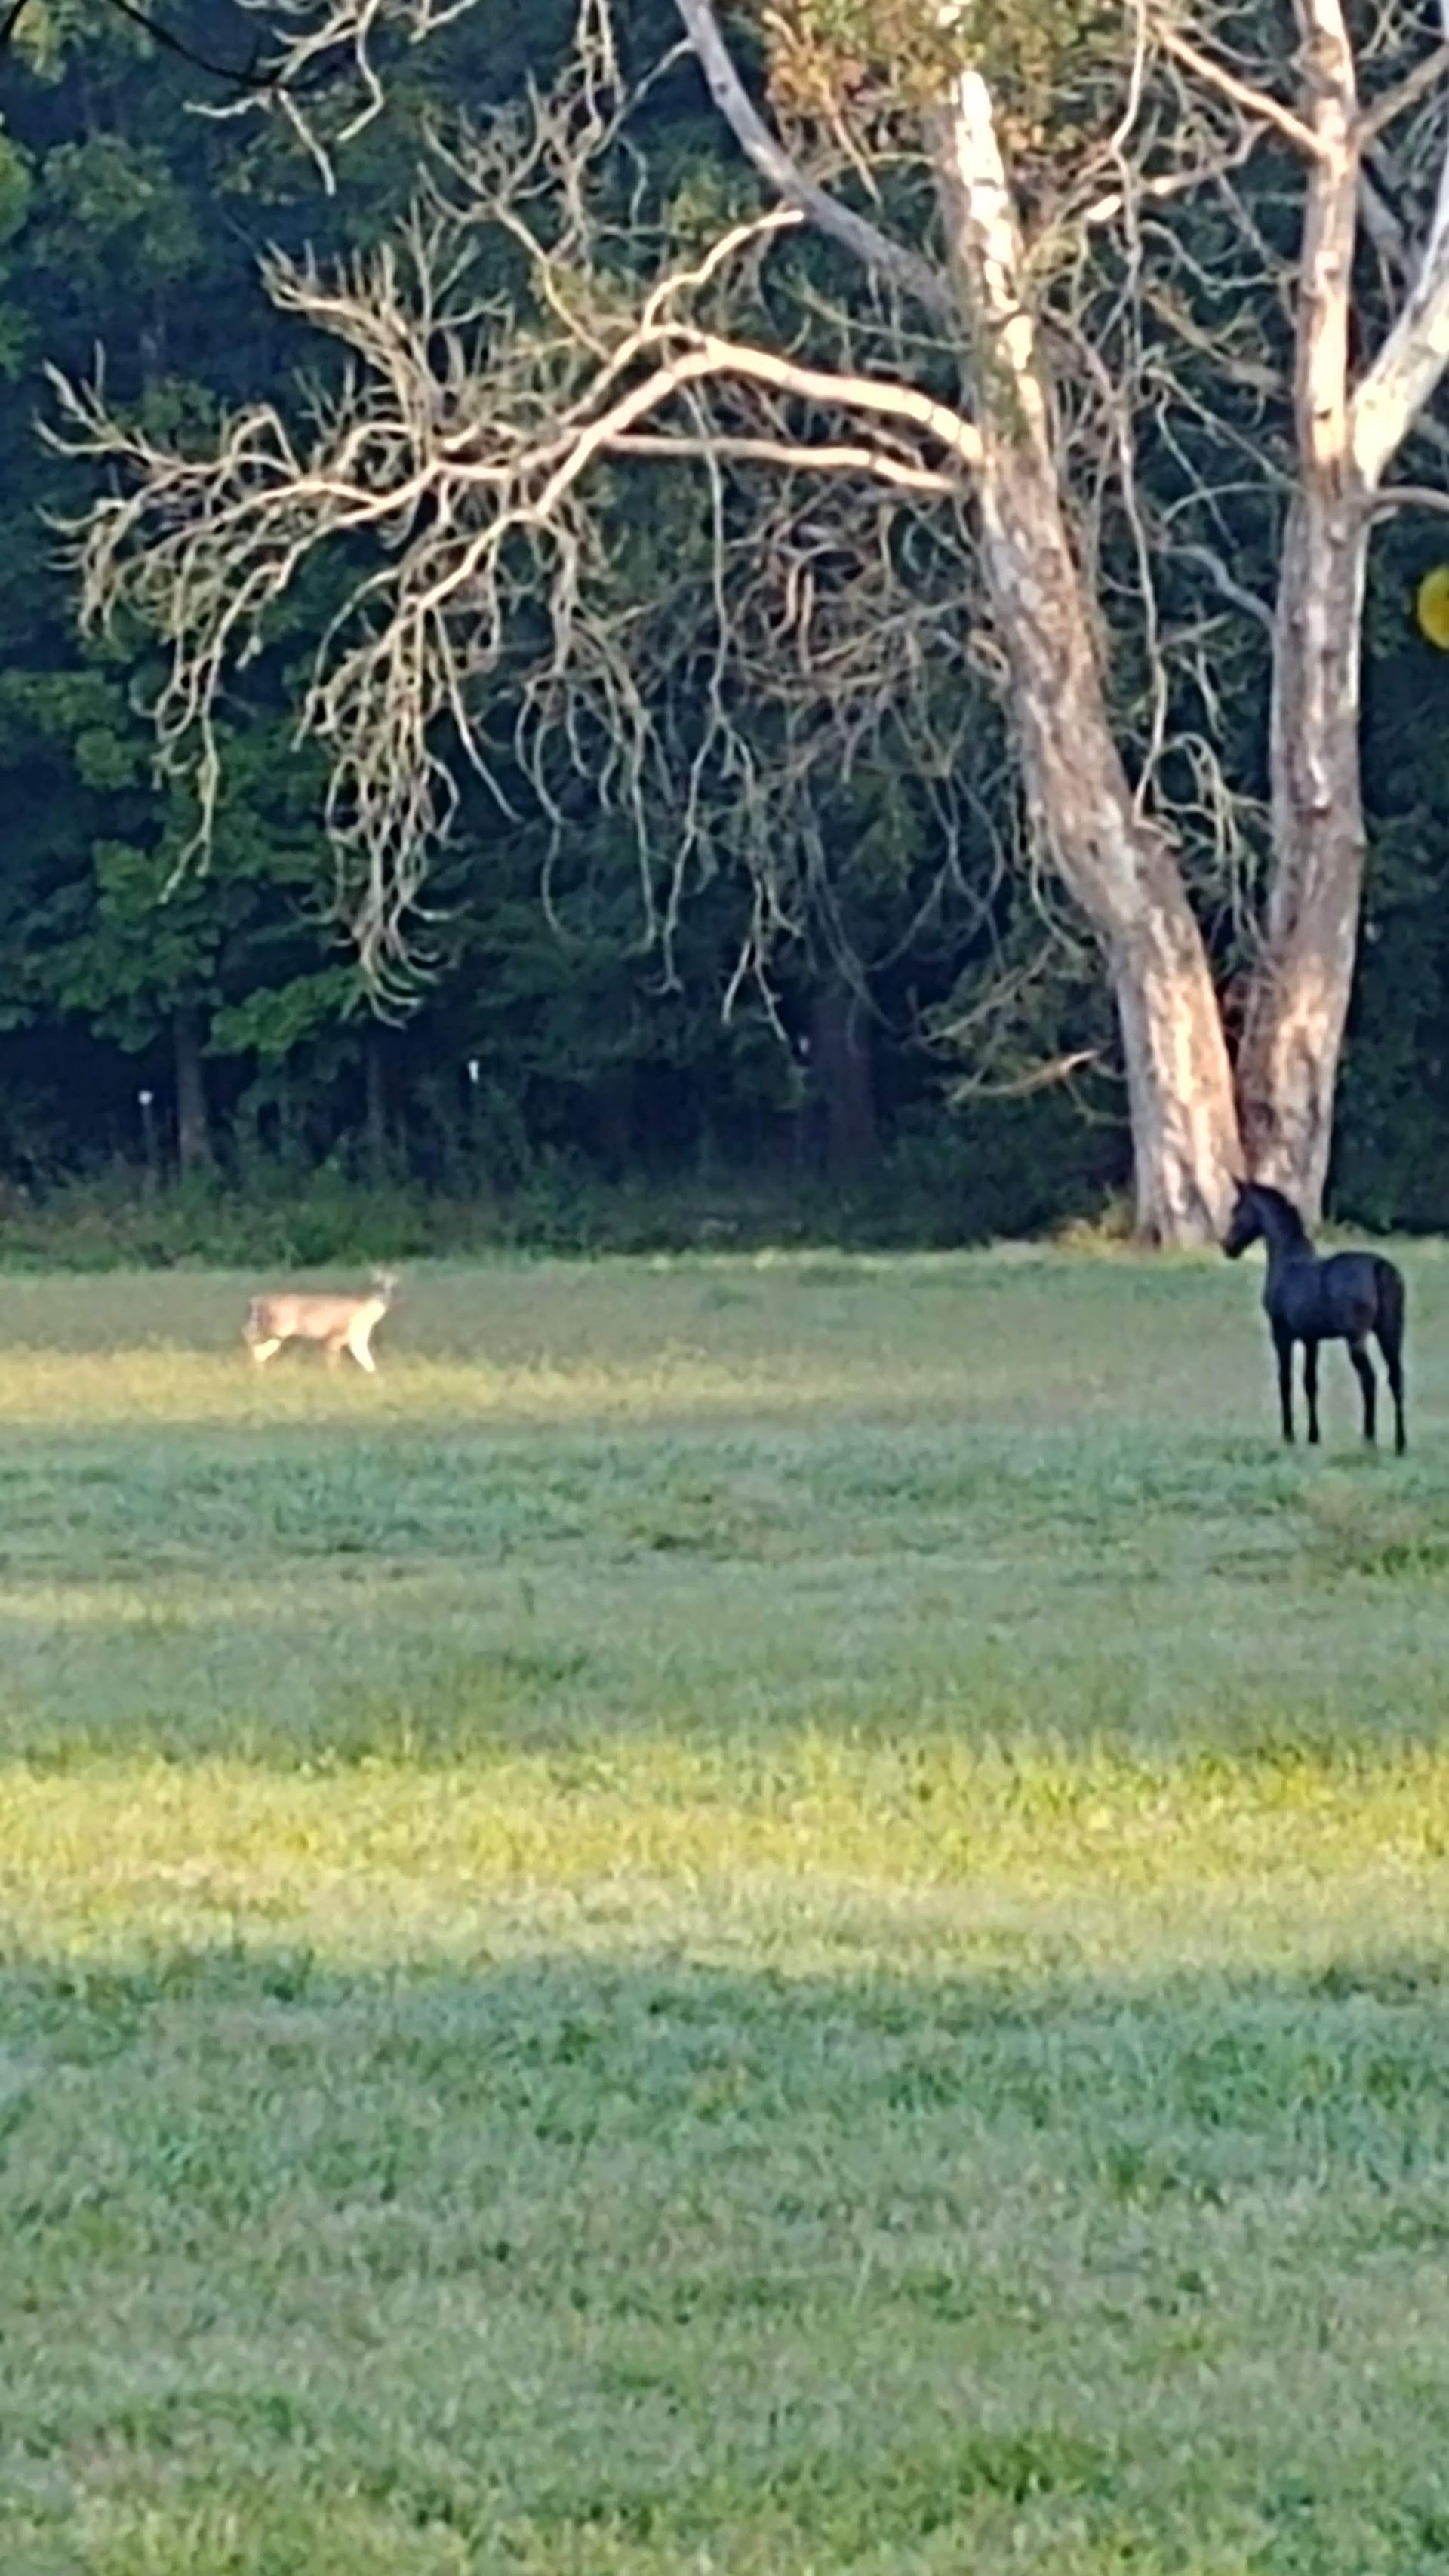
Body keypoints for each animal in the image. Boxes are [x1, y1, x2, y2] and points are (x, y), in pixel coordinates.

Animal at [1221, 1181, 1406, 1454]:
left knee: (1369, 1379)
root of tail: (1380, 1268)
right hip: (1391, 1333)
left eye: (1237, 1210)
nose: (1227, 1247)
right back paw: (1400, 1443)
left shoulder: (1281, 1335)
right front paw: (1313, 1436)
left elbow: (1285, 1381)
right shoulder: (1312, 1339)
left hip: (1357, 1339)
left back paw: (1369, 1438)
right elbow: (1310, 1383)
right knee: (1396, 1379)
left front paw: (1289, 1435)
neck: (1289, 1262)